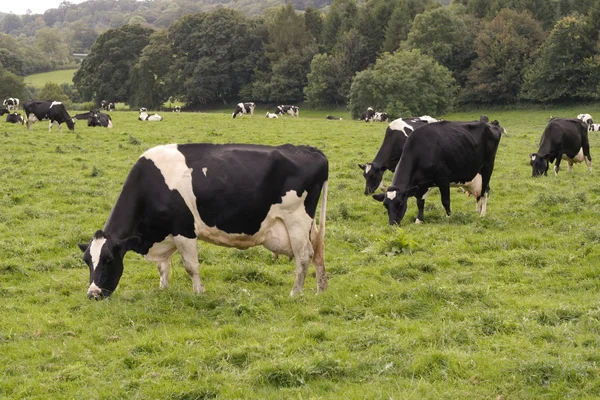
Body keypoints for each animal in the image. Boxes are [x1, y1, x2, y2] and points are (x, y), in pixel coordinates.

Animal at [78, 142, 330, 298]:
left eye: (109, 259)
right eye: (86, 261)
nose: (93, 294)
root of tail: (310, 150)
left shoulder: (183, 230)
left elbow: (191, 266)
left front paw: (199, 292)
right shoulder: (165, 232)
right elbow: (163, 266)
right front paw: (163, 289)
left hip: (296, 219)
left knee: (303, 257)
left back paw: (295, 293)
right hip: (308, 226)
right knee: (318, 252)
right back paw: (320, 291)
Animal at [372, 119, 504, 225]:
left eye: (400, 203)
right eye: (385, 205)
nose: (392, 223)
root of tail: (490, 124)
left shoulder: (443, 179)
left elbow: (445, 200)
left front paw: (449, 217)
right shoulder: (421, 184)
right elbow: (420, 202)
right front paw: (419, 220)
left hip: (487, 167)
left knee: (484, 191)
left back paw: (482, 213)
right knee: (480, 193)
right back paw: (477, 210)